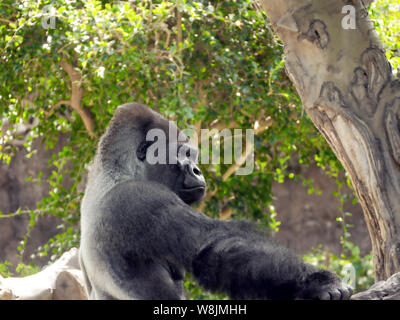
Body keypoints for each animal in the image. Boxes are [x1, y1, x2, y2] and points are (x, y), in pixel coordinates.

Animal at [79, 103, 354, 300]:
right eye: (183, 154)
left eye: (191, 155)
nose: (197, 170)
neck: (118, 170)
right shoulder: (142, 197)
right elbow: (213, 251)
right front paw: (318, 282)